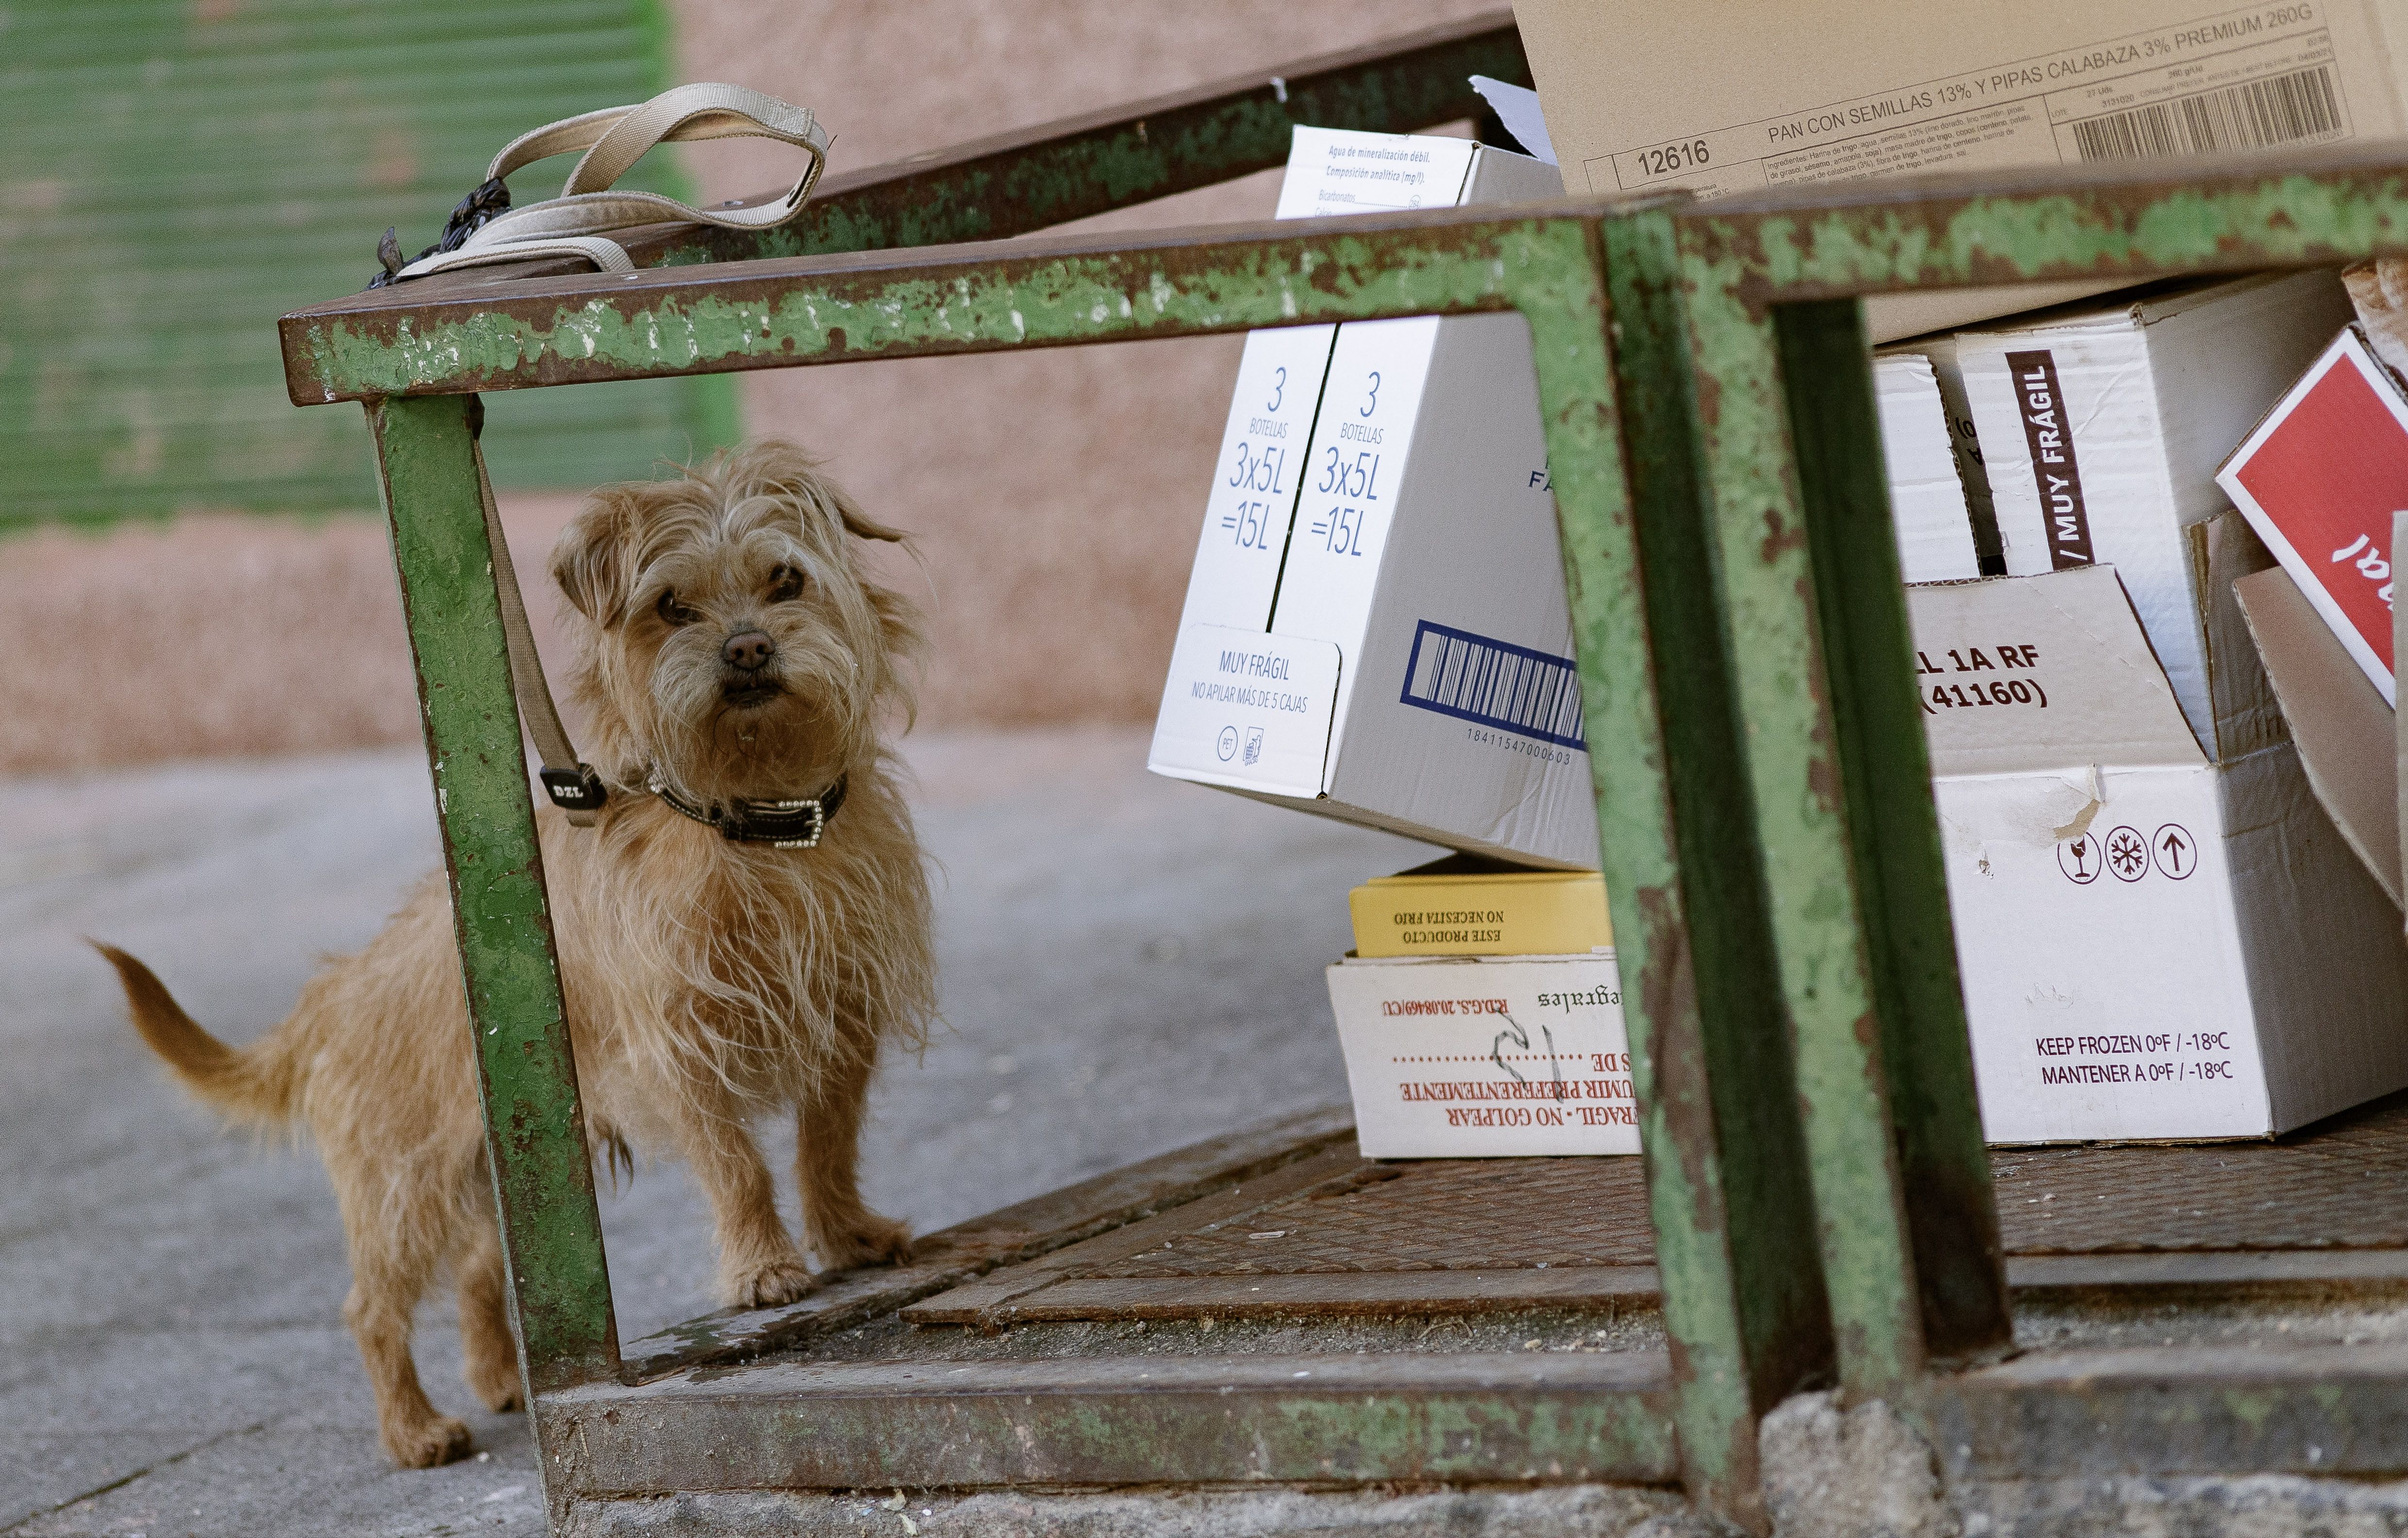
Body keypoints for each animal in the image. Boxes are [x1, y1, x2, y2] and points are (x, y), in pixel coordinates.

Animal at [91, 443, 929, 1463]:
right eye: (671, 606)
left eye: (786, 581)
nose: (745, 647)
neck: (755, 823)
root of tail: (336, 993)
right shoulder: (682, 1047)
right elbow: (737, 1161)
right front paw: (765, 1268)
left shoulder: (843, 1015)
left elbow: (827, 1142)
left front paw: (847, 1234)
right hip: (403, 1190)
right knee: (371, 1305)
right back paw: (414, 1429)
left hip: (501, 1167)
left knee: (479, 1272)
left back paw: (500, 1380)